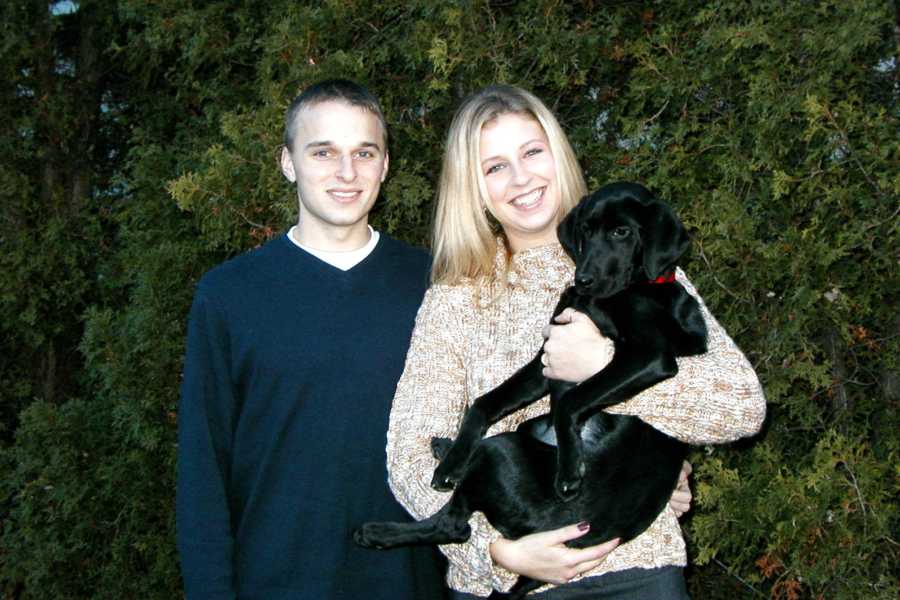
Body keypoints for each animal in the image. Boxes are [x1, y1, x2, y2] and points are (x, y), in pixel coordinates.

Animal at [356, 183, 708, 600]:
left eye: (622, 232)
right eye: (585, 231)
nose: (582, 279)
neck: (628, 290)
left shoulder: (648, 356)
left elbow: (571, 400)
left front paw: (569, 470)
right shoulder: (547, 359)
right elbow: (485, 402)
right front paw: (453, 461)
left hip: (500, 451)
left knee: (455, 527)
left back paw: (377, 532)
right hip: (522, 433)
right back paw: (446, 453)